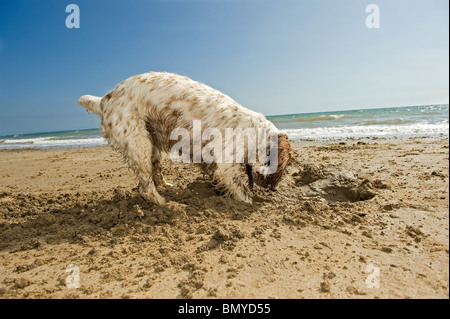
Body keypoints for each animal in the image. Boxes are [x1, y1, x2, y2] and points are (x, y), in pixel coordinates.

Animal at [78, 72, 292, 205]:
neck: (256, 131)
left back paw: (166, 186)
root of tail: (104, 100)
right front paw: (253, 201)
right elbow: (241, 191)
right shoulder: (226, 165)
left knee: (155, 172)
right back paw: (169, 205)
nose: (272, 188)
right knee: (146, 188)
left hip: (151, 143)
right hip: (139, 143)